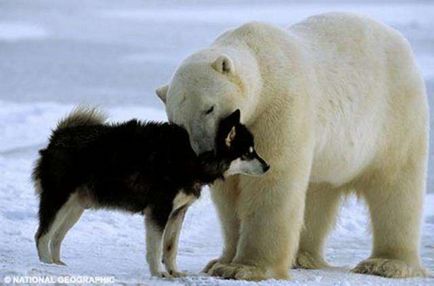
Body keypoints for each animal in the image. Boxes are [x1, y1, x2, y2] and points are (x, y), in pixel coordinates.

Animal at [33, 108, 268, 278]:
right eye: (248, 153)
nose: (268, 167)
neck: (193, 155)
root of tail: (58, 136)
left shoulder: (177, 212)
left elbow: (170, 247)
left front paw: (174, 272)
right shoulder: (159, 211)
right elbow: (155, 248)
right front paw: (159, 273)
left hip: (75, 208)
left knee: (56, 237)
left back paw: (57, 265)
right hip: (58, 201)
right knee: (42, 235)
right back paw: (46, 265)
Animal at [154, 12, 428, 280]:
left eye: (209, 108)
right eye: (178, 123)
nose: (204, 153)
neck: (261, 61)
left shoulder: (279, 108)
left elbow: (271, 181)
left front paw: (244, 268)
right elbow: (230, 194)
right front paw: (220, 262)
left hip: (393, 118)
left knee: (395, 187)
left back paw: (386, 263)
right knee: (318, 191)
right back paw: (303, 256)